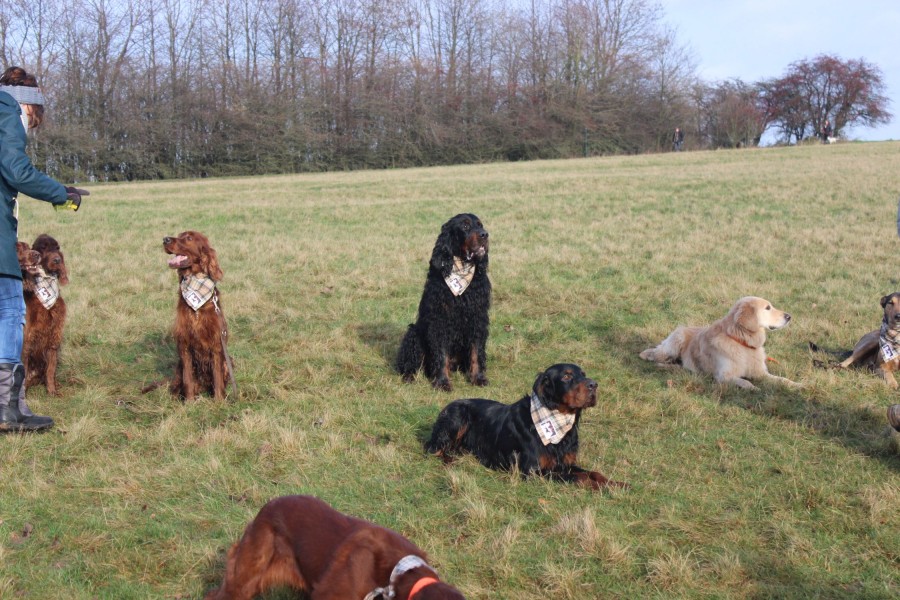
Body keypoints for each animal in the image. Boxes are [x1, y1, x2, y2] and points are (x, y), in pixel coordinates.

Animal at [22, 234, 68, 396]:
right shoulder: (27, 337)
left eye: (57, 248)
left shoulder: (54, 336)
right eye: (43, 248)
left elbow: (51, 369)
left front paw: (52, 390)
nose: (57, 260)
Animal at [163, 231, 232, 401]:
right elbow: (188, 379)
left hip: (229, 361)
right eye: (179, 234)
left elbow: (217, 377)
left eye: (189, 238)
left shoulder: (216, 344)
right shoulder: (184, 344)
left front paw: (219, 401)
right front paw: (189, 402)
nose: (165, 239)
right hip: (179, 366)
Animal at [396, 213, 490, 391]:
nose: (485, 235)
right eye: (465, 226)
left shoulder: (478, 318)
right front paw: (442, 382)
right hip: (413, 334)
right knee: (411, 364)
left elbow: (476, 351)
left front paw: (478, 377)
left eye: (480, 225)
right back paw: (409, 376)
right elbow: (441, 355)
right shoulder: (439, 321)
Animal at [424, 363, 627, 490]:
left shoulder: (565, 463)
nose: (594, 385)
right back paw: (451, 460)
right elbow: (581, 477)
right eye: (566, 376)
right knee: (434, 448)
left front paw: (617, 484)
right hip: (457, 415)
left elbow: (594, 473)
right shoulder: (533, 472)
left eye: (583, 375)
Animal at [639, 296, 799, 390]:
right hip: (676, 340)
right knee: (656, 355)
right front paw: (755, 388)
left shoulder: (760, 372)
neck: (742, 342)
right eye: (767, 308)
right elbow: (746, 382)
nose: (789, 316)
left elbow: (782, 379)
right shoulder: (723, 376)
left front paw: (797, 384)